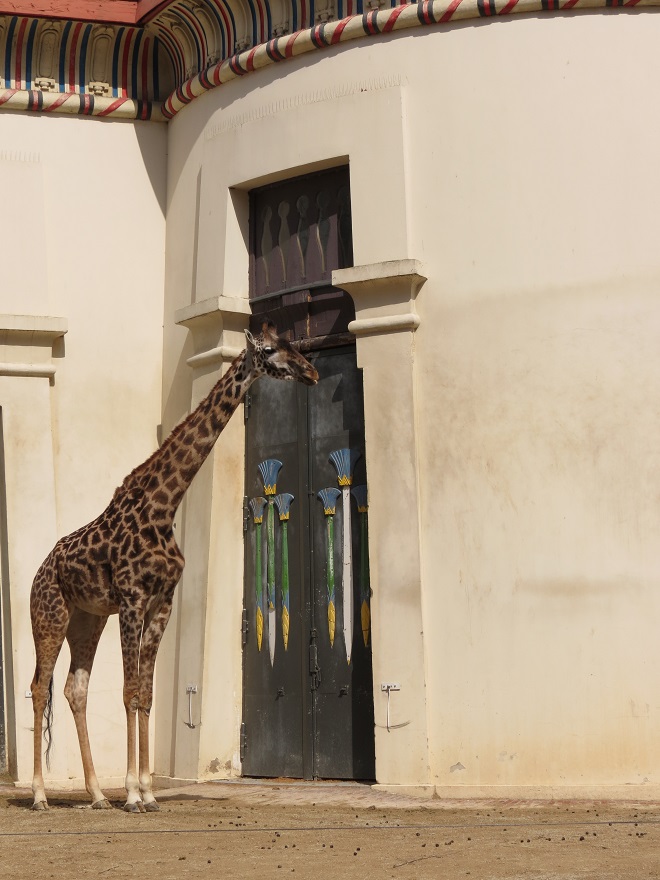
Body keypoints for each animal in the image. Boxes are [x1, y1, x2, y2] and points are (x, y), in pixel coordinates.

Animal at [29, 321, 318, 812]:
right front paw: (131, 792)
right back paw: (39, 795)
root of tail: (39, 571)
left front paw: (147, 791)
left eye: (290, 345)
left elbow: (146, 694)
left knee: (74, 689)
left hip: (87, 620)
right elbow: (129, 691)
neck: (163, 509)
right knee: (37, 686)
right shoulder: (132, 600)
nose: (312, 372)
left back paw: (96, 795)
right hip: (49, 617)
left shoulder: (161, 603)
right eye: (268, 351)